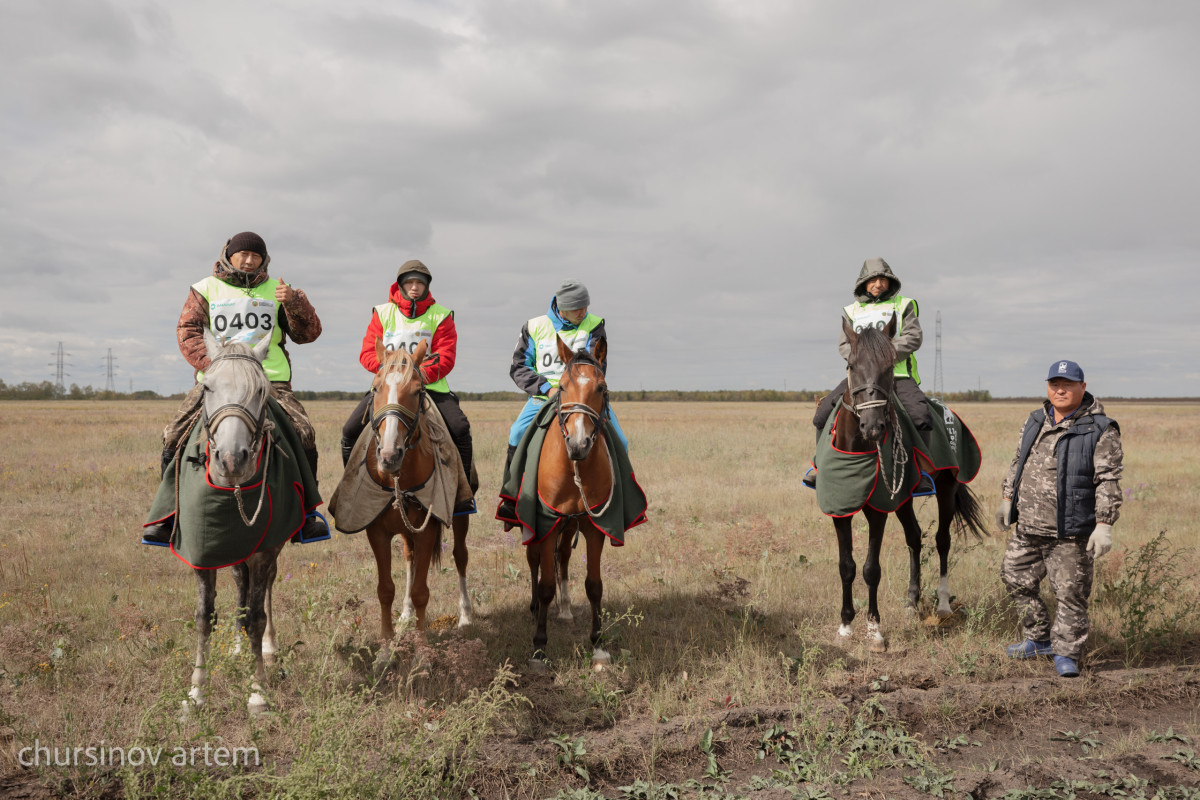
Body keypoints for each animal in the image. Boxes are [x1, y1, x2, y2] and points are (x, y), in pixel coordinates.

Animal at [362, 335, 470, 642]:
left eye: (417, 390)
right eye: (376, 387)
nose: (389, 455)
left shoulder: (428, 529)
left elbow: (422, 590)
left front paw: (421, 644)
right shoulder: (377, 531)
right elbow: (385, 589)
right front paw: (387, 641)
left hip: (461, 517)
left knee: (460, 556)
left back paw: (465, 616)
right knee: (409, 559)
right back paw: (406, 615)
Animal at [528, 335, 614, 671]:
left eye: (601, 388)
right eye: (562, 387)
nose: (578, 444)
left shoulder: (593, 526)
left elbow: (595, 585)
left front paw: (599, 645)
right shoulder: (546, 524)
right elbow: (545, 585)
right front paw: (539, 648)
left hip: (569, 525)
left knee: (563, 556)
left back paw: (564, 609)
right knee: (535, 562)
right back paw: (535, 608)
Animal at [830, 311, 988, 652]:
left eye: (890, 367)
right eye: (851, 366)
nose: (873, 426)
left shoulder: (877, 511)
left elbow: (871, 569)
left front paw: (874, 630)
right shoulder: (840, 509)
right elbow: (846, 566)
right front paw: (845, 625)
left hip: (946, 488)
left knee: (942, 540)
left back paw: (942, 604)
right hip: (903, 498)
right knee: (915, 538)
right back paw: (911, 603)